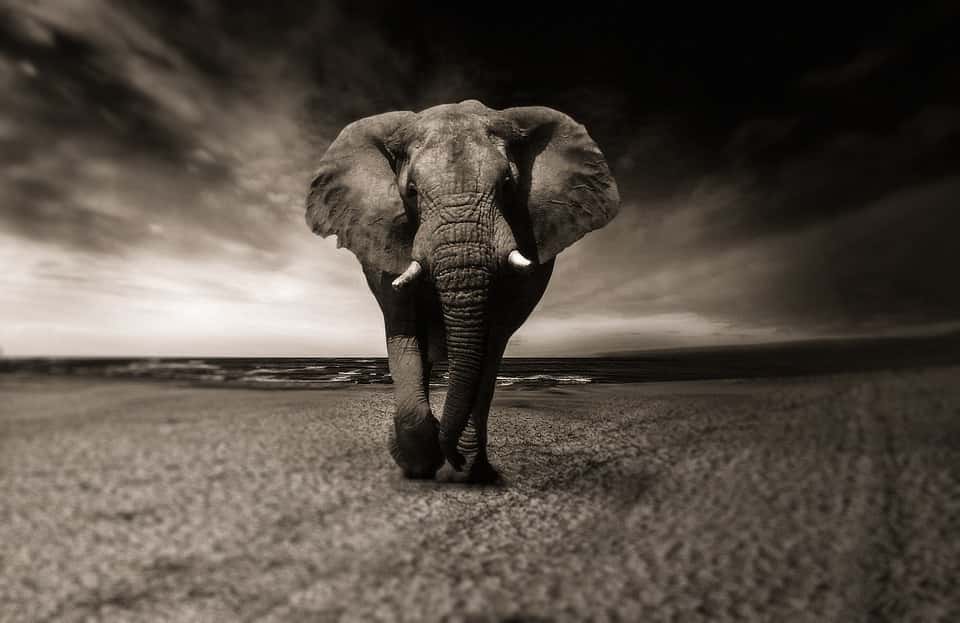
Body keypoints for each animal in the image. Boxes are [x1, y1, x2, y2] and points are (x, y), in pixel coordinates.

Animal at [305, 99, 619, 482]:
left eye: (508, 185)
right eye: (411, 191)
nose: (451, 456)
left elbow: (491, 340)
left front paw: (464, 467)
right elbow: (403, 328)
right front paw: (420, 462)